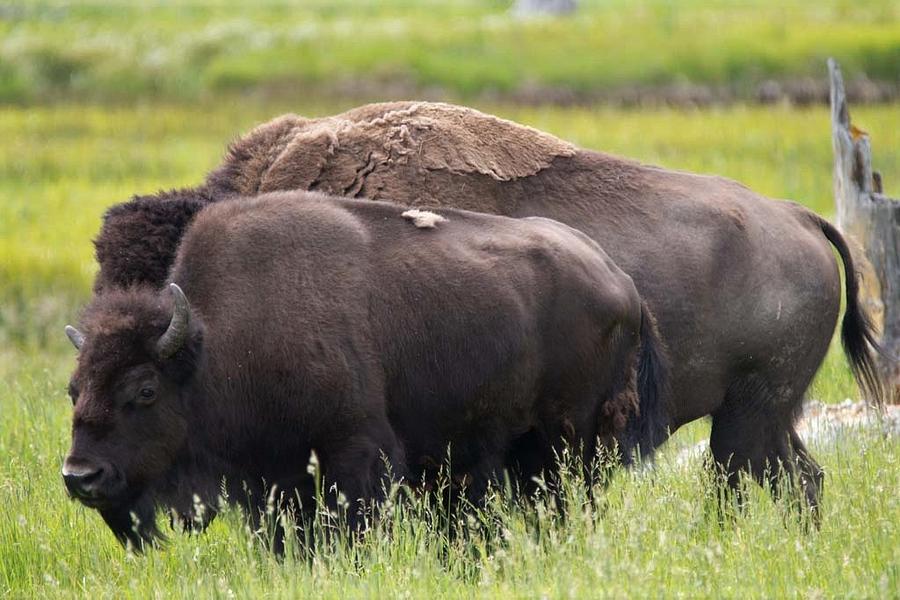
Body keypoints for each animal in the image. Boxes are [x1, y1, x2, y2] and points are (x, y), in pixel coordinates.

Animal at [63, 191, 668, 548]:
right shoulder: (273, 477)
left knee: (566, 501)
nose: (79, 476)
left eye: (144, 389)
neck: (216, 343)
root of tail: (620, 279)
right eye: (74, 389)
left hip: (570, 440)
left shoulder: (353, 449)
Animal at [93, 102, 884, 510]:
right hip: (764, 415)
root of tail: (799, 216)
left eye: (156, 301)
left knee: (755, 481)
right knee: (799, 479)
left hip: (751, 413)